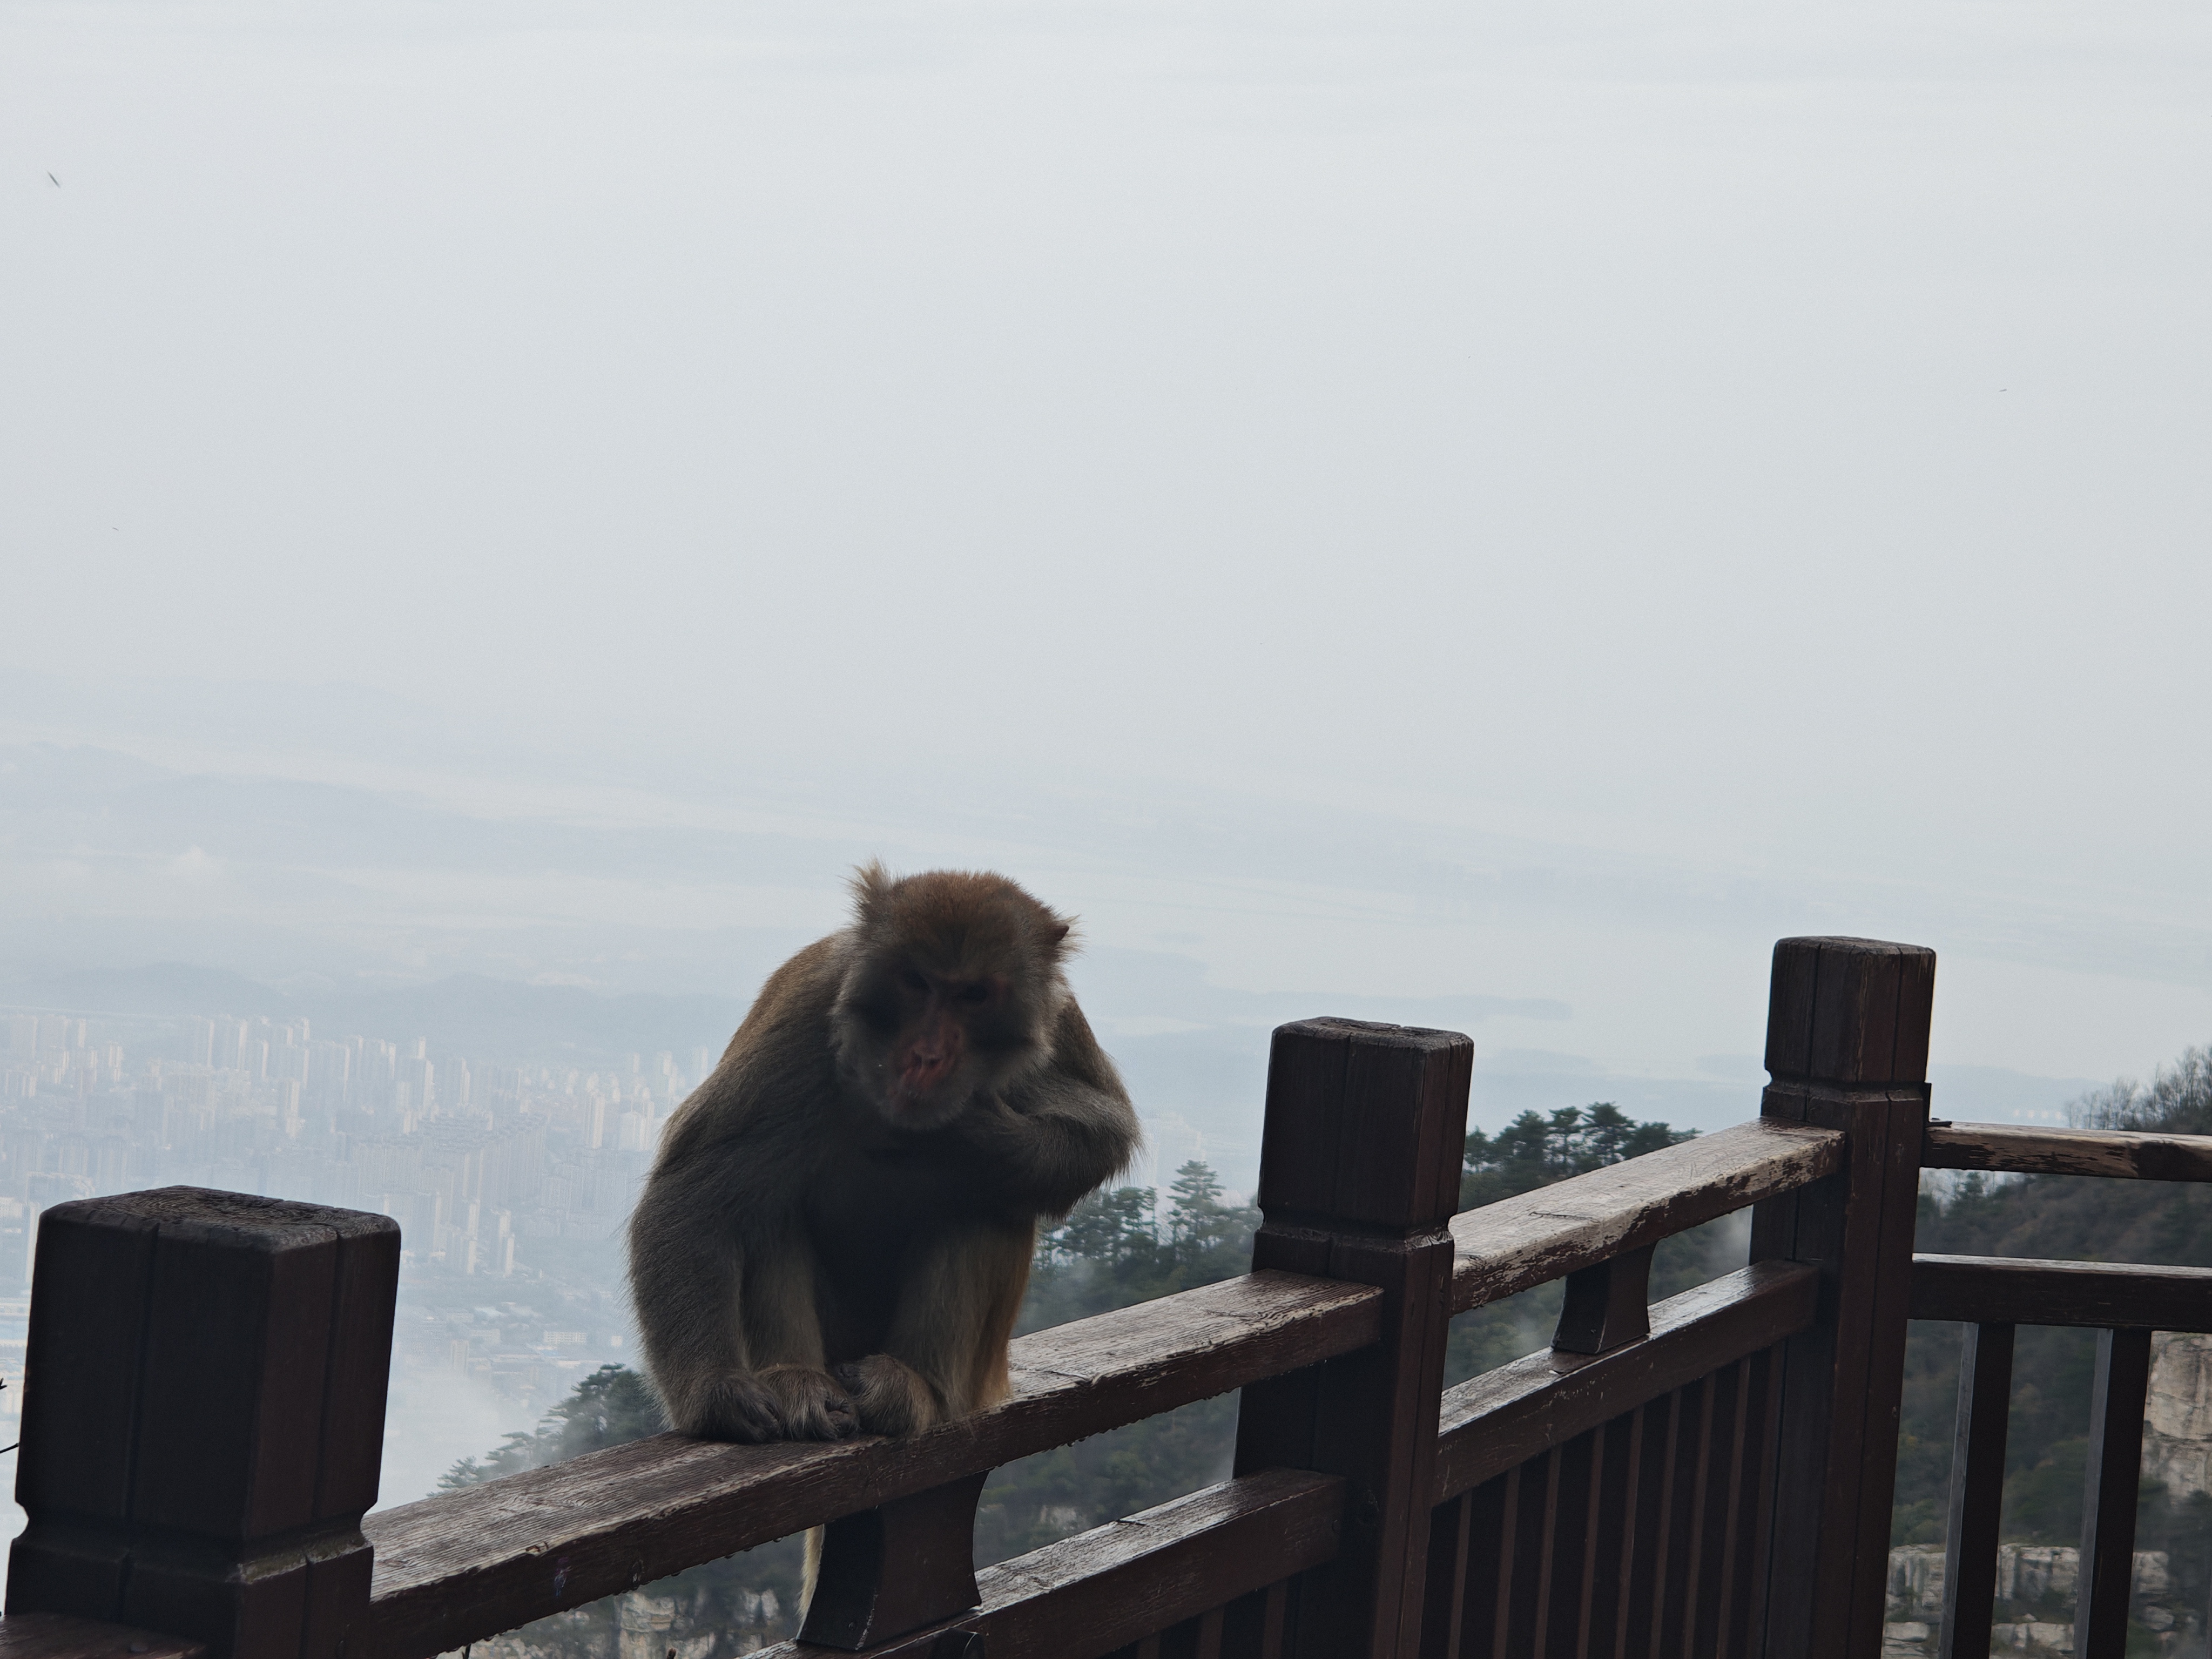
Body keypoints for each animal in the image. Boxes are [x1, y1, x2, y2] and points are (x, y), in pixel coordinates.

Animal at [627, 863, 1141, 1445]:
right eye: (916, 983)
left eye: (974, 994)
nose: (927, 1055)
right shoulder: (809, 1014)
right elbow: (691, 1195)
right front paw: (716, 1395)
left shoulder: (1060, 1017)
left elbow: (1103, 1134)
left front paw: (965, 1134)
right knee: (761, 1198)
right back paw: (796, 1380)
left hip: (972, 1378)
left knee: (984, 1193)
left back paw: (912, 1388)